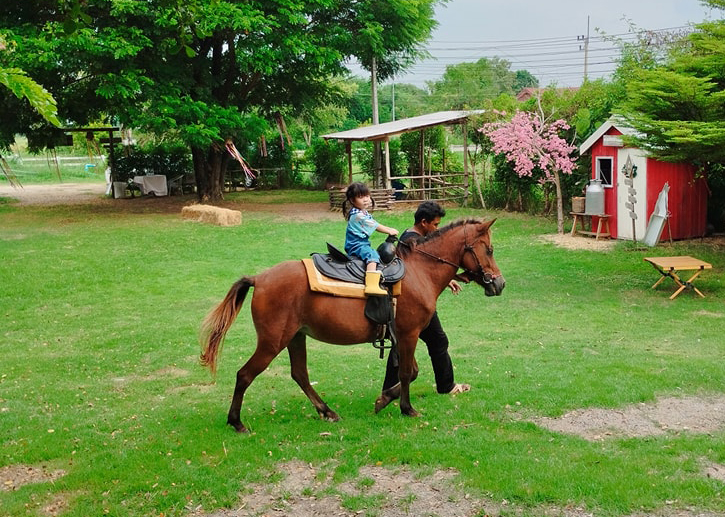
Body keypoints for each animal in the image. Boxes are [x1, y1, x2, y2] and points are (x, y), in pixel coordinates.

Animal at [198, 217, 504, 432]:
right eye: (489, 250)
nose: (499, 283)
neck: (419, 272)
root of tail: (259, 279)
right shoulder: (409, 334)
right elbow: (407, 372)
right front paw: (406, 408)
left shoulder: (402, 336)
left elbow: (410, 372)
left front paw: (384, 400)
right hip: (272, 342)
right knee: (244, 375)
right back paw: (236, 422)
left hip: (295, 337)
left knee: (300, 374)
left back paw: (326, 411)